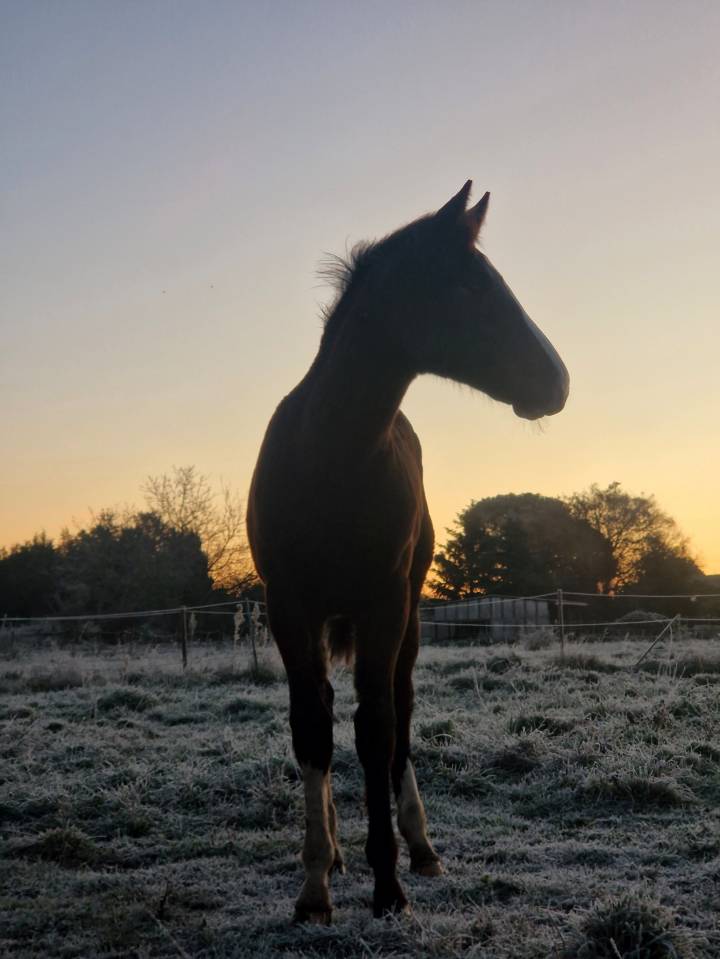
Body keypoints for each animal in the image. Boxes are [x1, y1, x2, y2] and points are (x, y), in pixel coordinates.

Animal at [246, 181, 569, 922]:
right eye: (470, 287)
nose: (557, 381)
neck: (331, 458)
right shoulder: (290, 607)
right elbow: (313, 727)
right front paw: (315, 885)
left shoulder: (384, 603)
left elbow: (379, 728)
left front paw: (388, 883)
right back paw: (338, 851)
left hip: (410, 619)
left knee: (402, 705)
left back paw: (419, 846)